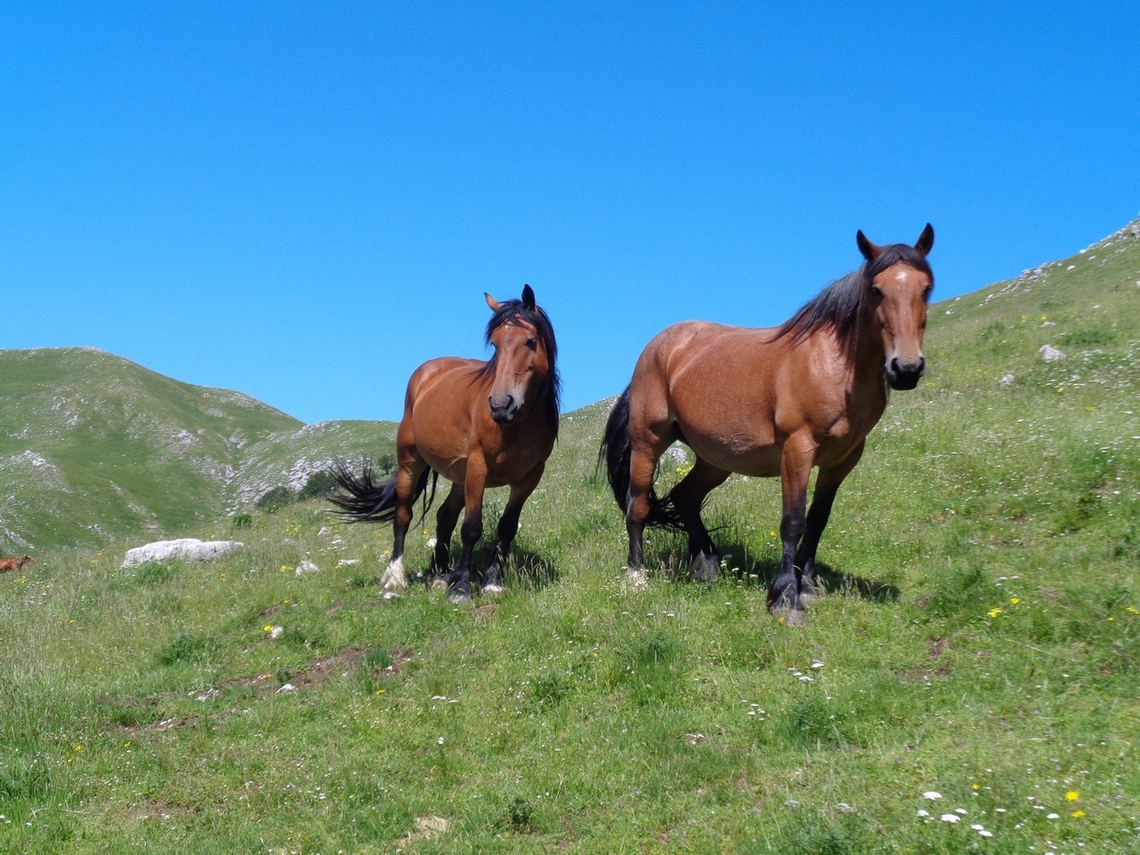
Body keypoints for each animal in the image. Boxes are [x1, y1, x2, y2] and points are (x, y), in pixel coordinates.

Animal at [330, 284, 559, 604]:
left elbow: (506, 527)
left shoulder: (529, 477)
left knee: (444, 516)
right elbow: (472, 528)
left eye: (530, 341)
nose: (501, 406)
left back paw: (440, 572)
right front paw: (461, 587)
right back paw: (396, 576)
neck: (517, 425)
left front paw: (492, 582)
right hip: (411, 463)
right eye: (495, 345)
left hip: (459, 476)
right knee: (403, 516)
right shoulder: (478, 468)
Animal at [601, 225, 934, 619]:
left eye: (926, 288)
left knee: (685, 497)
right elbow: (793, 521)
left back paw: (707, 565)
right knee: (637, 506)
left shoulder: (842, 460)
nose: (906, 369)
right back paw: (636, 576)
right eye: (876, 290)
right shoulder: (798, 450)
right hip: (648, 443)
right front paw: (785, 597)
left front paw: (806, 585)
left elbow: (818, 519)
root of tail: (658, 347)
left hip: (716, 459)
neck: (833, 366)